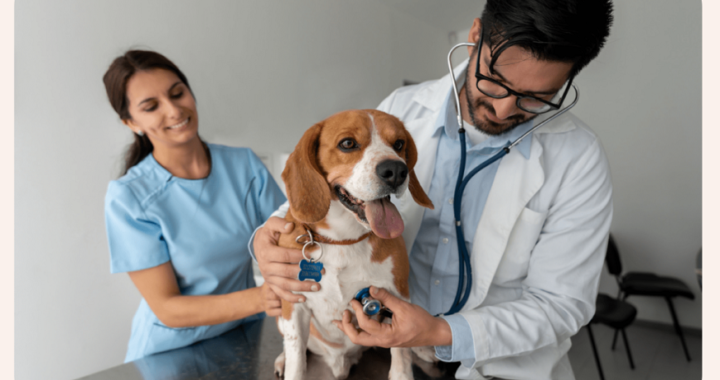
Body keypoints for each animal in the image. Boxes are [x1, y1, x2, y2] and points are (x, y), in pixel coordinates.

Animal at [274, 108, 434, 378]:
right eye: (347, 143)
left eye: (399, 144)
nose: (397, 170)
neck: (344, 240)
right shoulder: (294, 306)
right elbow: (297, 361)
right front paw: (290, 361)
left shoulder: (398, 297)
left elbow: (401, 358)